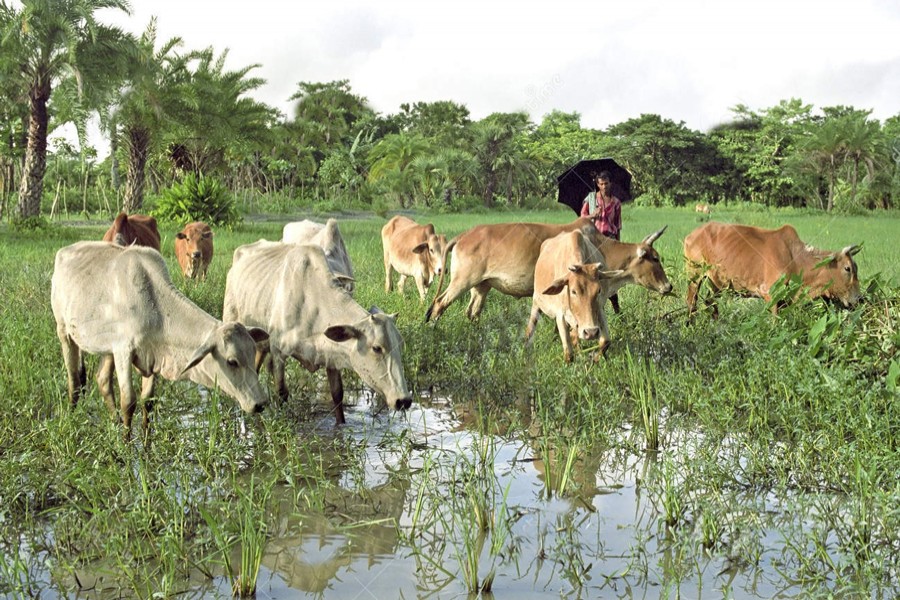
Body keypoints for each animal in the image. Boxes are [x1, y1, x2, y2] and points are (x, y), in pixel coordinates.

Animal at [50, 241, 268, 434]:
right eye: (232, 361)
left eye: (252, 355)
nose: (260, 403)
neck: (156, 306)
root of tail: (65, 250)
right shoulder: (123, 351)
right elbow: (128, 402)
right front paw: (126, 445)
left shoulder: (151, 355)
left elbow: (147, 401)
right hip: (64, 332)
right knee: (74, 382)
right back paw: (73, 417)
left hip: (106, 349)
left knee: (102, 381)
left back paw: (115, 422)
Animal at [223, 240, 414, 426]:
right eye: (376, 348)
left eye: (400, 345)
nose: (403, 400)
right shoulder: (278, 352)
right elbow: (282, 393)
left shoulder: (331, 355)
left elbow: (337, 395)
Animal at [528, 229, 624, 360]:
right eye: (573, 291)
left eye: (598, 290)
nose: (590, 332)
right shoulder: (560, 315)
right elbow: (569, 354)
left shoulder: (599, 310)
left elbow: (605, 342)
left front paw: (595, 359)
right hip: (536, 303)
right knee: (530, 328)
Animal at [684, 221, 860, 318]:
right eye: (847, 268)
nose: (859, 298)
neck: (796, 259)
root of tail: (691, 235)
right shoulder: (771, 295)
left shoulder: (786, 300)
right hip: (694, 274)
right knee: (691, 302)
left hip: (716, 283)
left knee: (709, 301)